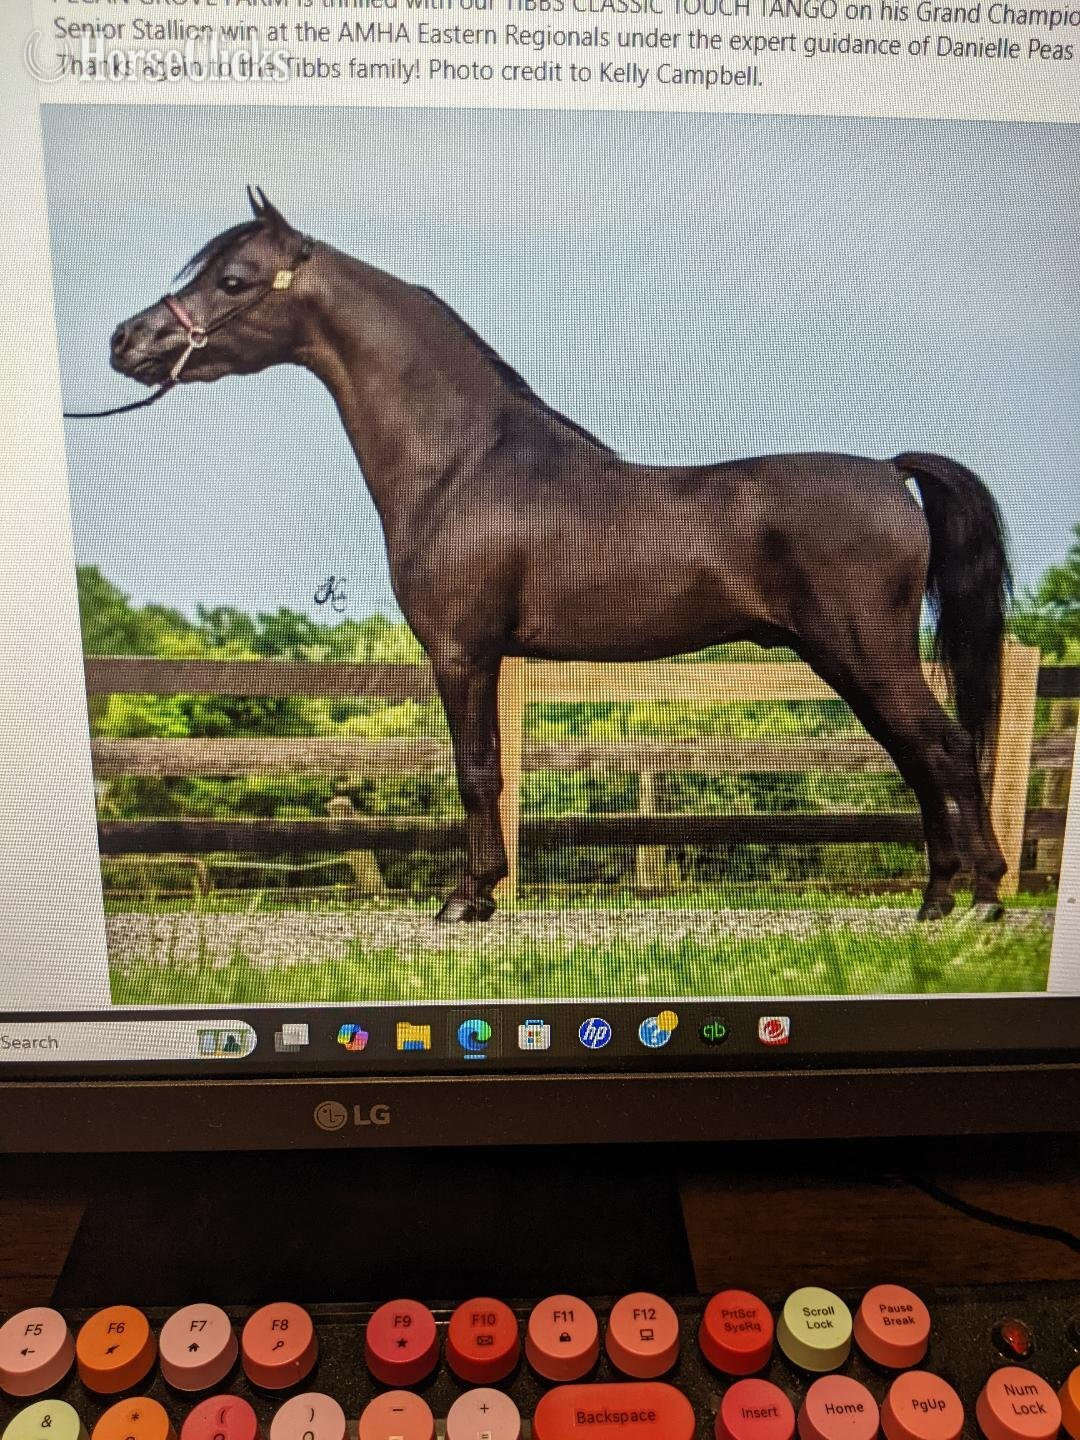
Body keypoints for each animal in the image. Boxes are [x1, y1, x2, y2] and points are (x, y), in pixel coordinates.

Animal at [103, 188, 1012, 923]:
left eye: (232, 279)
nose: (125, 341)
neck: (464, 464)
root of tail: (889, 472)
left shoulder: (461, 651)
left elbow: (476, 771)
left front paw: (466, 901)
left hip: (866, 652)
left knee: (944, 749)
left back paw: (985, 895)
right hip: (843, 660)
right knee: (914, 757)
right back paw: (934, 898)